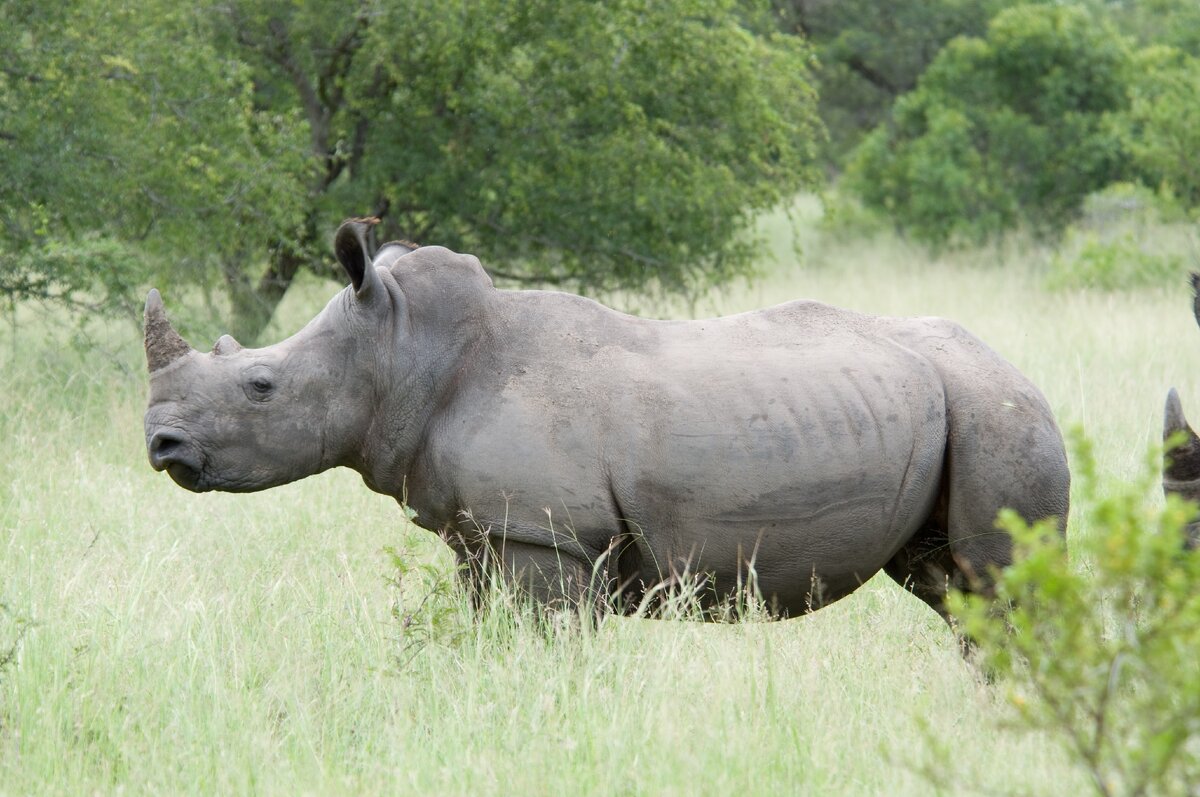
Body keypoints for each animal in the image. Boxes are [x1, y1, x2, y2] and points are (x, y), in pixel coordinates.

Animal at [145, 219, 1075, 628]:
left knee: (999, 582)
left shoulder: (546, 537)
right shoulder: (488, 534)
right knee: (955, 592)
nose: (161, 444)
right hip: (956, 406)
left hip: (998, 412)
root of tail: (1021, 373)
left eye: (260, 385)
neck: (404, 347)